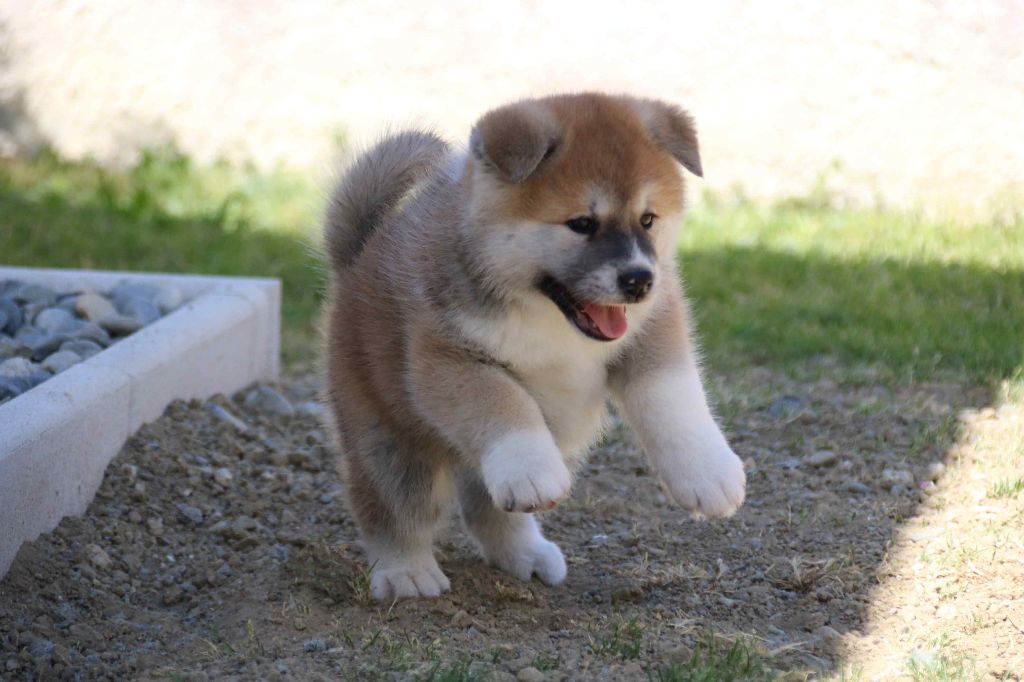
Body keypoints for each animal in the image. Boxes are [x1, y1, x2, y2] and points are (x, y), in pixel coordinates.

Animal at [321, 91, 745, 602]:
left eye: (648, 219)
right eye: (581, 223)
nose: (640, 280)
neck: (550, 318)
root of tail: (355, 263)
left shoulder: (652, 333)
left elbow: (674, 400)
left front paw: (708, 474)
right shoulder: (448, 359)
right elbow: (505, 404)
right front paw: (532, 471)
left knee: (489, 508)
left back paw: (527, 554)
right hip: (388, 439)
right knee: (393, 510)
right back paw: (407, 572)